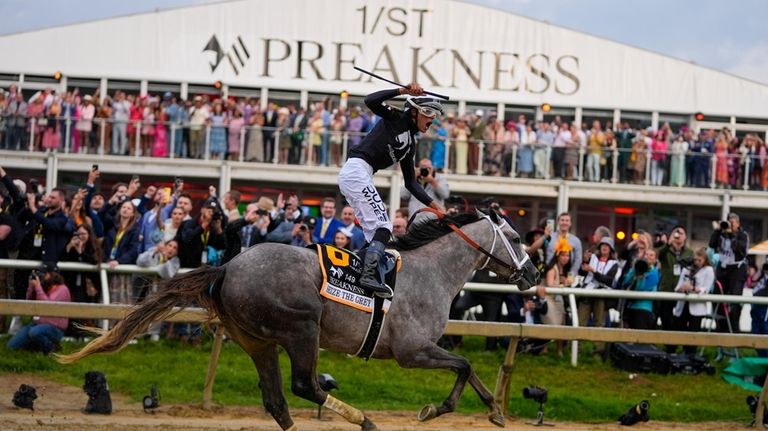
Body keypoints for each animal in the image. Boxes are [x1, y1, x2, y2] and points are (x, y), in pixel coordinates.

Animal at [60, 209, 536, 428]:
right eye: (515, 237)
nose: (533, 273)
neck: (431, 271)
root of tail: (227, 267)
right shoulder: (411, 351)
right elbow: (465, 366)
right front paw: (435, 409)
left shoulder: (423, 348)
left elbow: (470, 369)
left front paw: (495, 410)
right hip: (301, 328)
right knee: (305, 386)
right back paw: (363, 419)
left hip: (256, 340)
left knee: (276, 399)